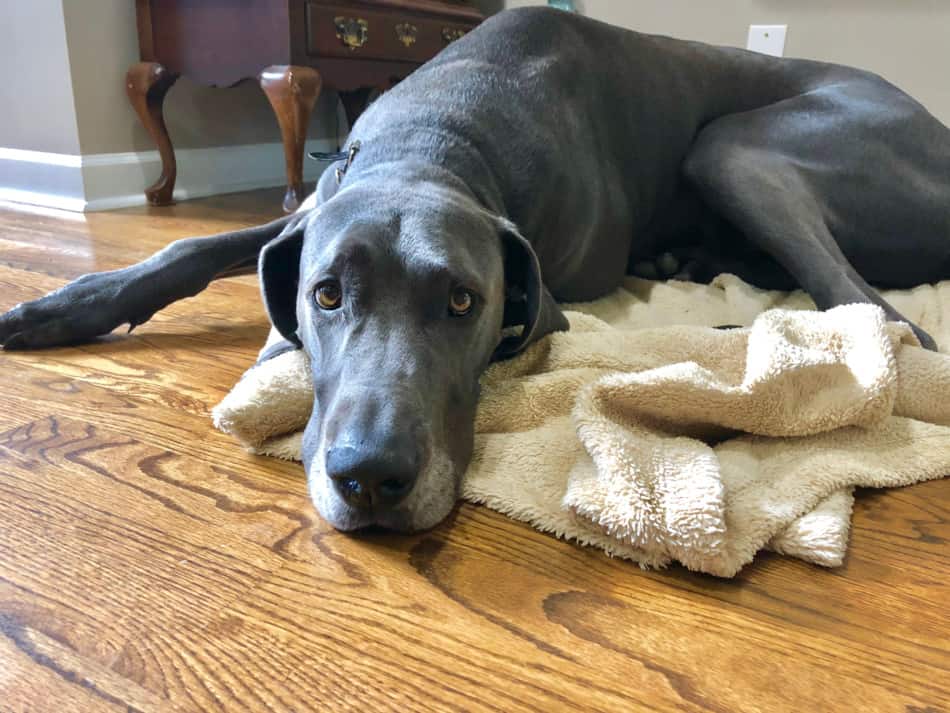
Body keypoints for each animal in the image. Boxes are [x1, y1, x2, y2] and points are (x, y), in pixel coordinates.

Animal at [1, 5, 950, 528]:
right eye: (325, 294)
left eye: (463, 301)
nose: (370, 477)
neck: (440, 136)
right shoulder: (311, 211)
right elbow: (190, 245)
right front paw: (55, 308)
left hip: (739, 146)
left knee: (882, 314)